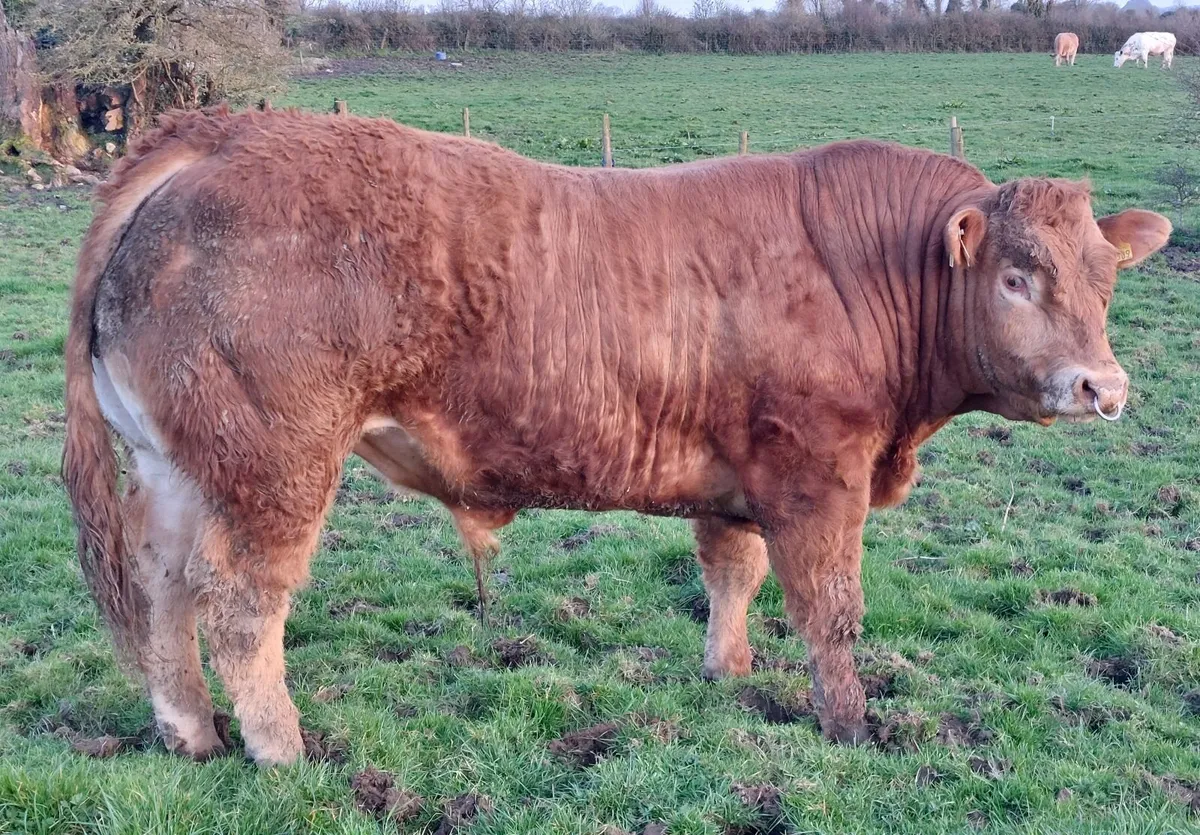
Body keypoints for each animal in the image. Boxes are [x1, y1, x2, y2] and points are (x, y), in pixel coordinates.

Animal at [63, 108, 1171, 766]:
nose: (1102, 387)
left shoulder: (743, 478)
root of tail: (223, 133)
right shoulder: (818, 475)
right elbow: (831, 611)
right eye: (1018, 276)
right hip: (273, 471)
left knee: (163, 591)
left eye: (1107, 277)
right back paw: (281, 746)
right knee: (243, 604)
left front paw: (729, 672)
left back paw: (189, 731)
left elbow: (734, 575)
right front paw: (850, 723)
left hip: (176, 469)